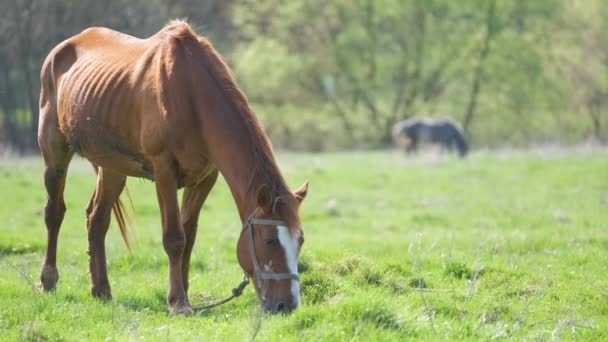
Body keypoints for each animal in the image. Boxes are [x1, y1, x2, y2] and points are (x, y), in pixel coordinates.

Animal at [36, 20, 308, 316]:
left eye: (300, 240)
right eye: (270, 240)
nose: (287, 305)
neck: (191, 96)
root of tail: (61, 49)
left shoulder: (205, 177)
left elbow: (189, 236)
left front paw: (185, 294)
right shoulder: (164, 170)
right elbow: (174, 237)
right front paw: (178, 302)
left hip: (113, 166)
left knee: (97, 219)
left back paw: (101, 290)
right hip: (55, 152)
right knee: (54, 213)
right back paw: (48, 280)